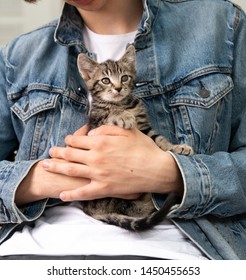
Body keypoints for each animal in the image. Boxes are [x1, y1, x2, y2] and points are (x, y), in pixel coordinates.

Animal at [77, 44, 192, 231]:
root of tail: (90, 210)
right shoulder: (96, 124)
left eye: (124, 78)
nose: (118, 88)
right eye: (105, 80)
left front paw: (176, 147)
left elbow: (160, 139)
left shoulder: (146, 130)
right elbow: (110, 114)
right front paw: (122, 115)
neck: (122, 103)